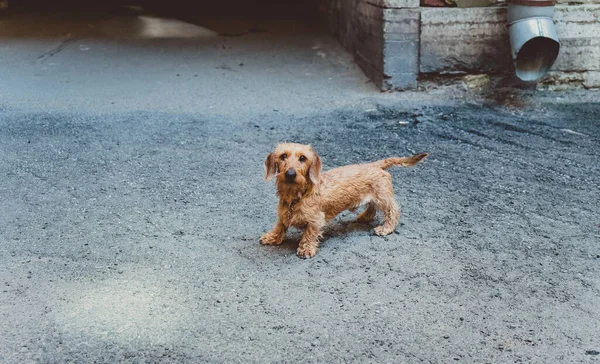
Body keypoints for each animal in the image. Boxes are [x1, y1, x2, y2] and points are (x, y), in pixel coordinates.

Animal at [258, 142, 426, 258]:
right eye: (283, 156)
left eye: (303, 158)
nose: (290, 174)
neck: (297, 196)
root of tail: (374, 165)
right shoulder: (283, 214)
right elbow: (280, 226)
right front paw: (272, 237)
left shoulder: (316, 220)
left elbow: (310, 234)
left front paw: (306, 248)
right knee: (372, 207)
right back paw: (365, 217)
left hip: (383, 197)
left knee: (393, 211)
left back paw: (385, 228)